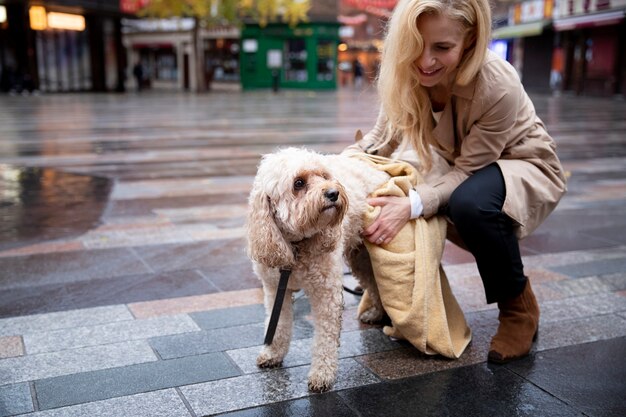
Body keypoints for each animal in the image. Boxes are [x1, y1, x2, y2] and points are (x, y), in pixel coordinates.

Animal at [245, 145, 388, 390]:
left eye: (324, 176)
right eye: (298, 183)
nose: (333, 193)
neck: (296, 245)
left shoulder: (326, 293)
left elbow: (325, 338)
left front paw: (322, 374)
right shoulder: (275, 289)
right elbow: (278, 325)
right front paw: (273, 353)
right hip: (360, 258)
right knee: (372, 281)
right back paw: (376, 313)